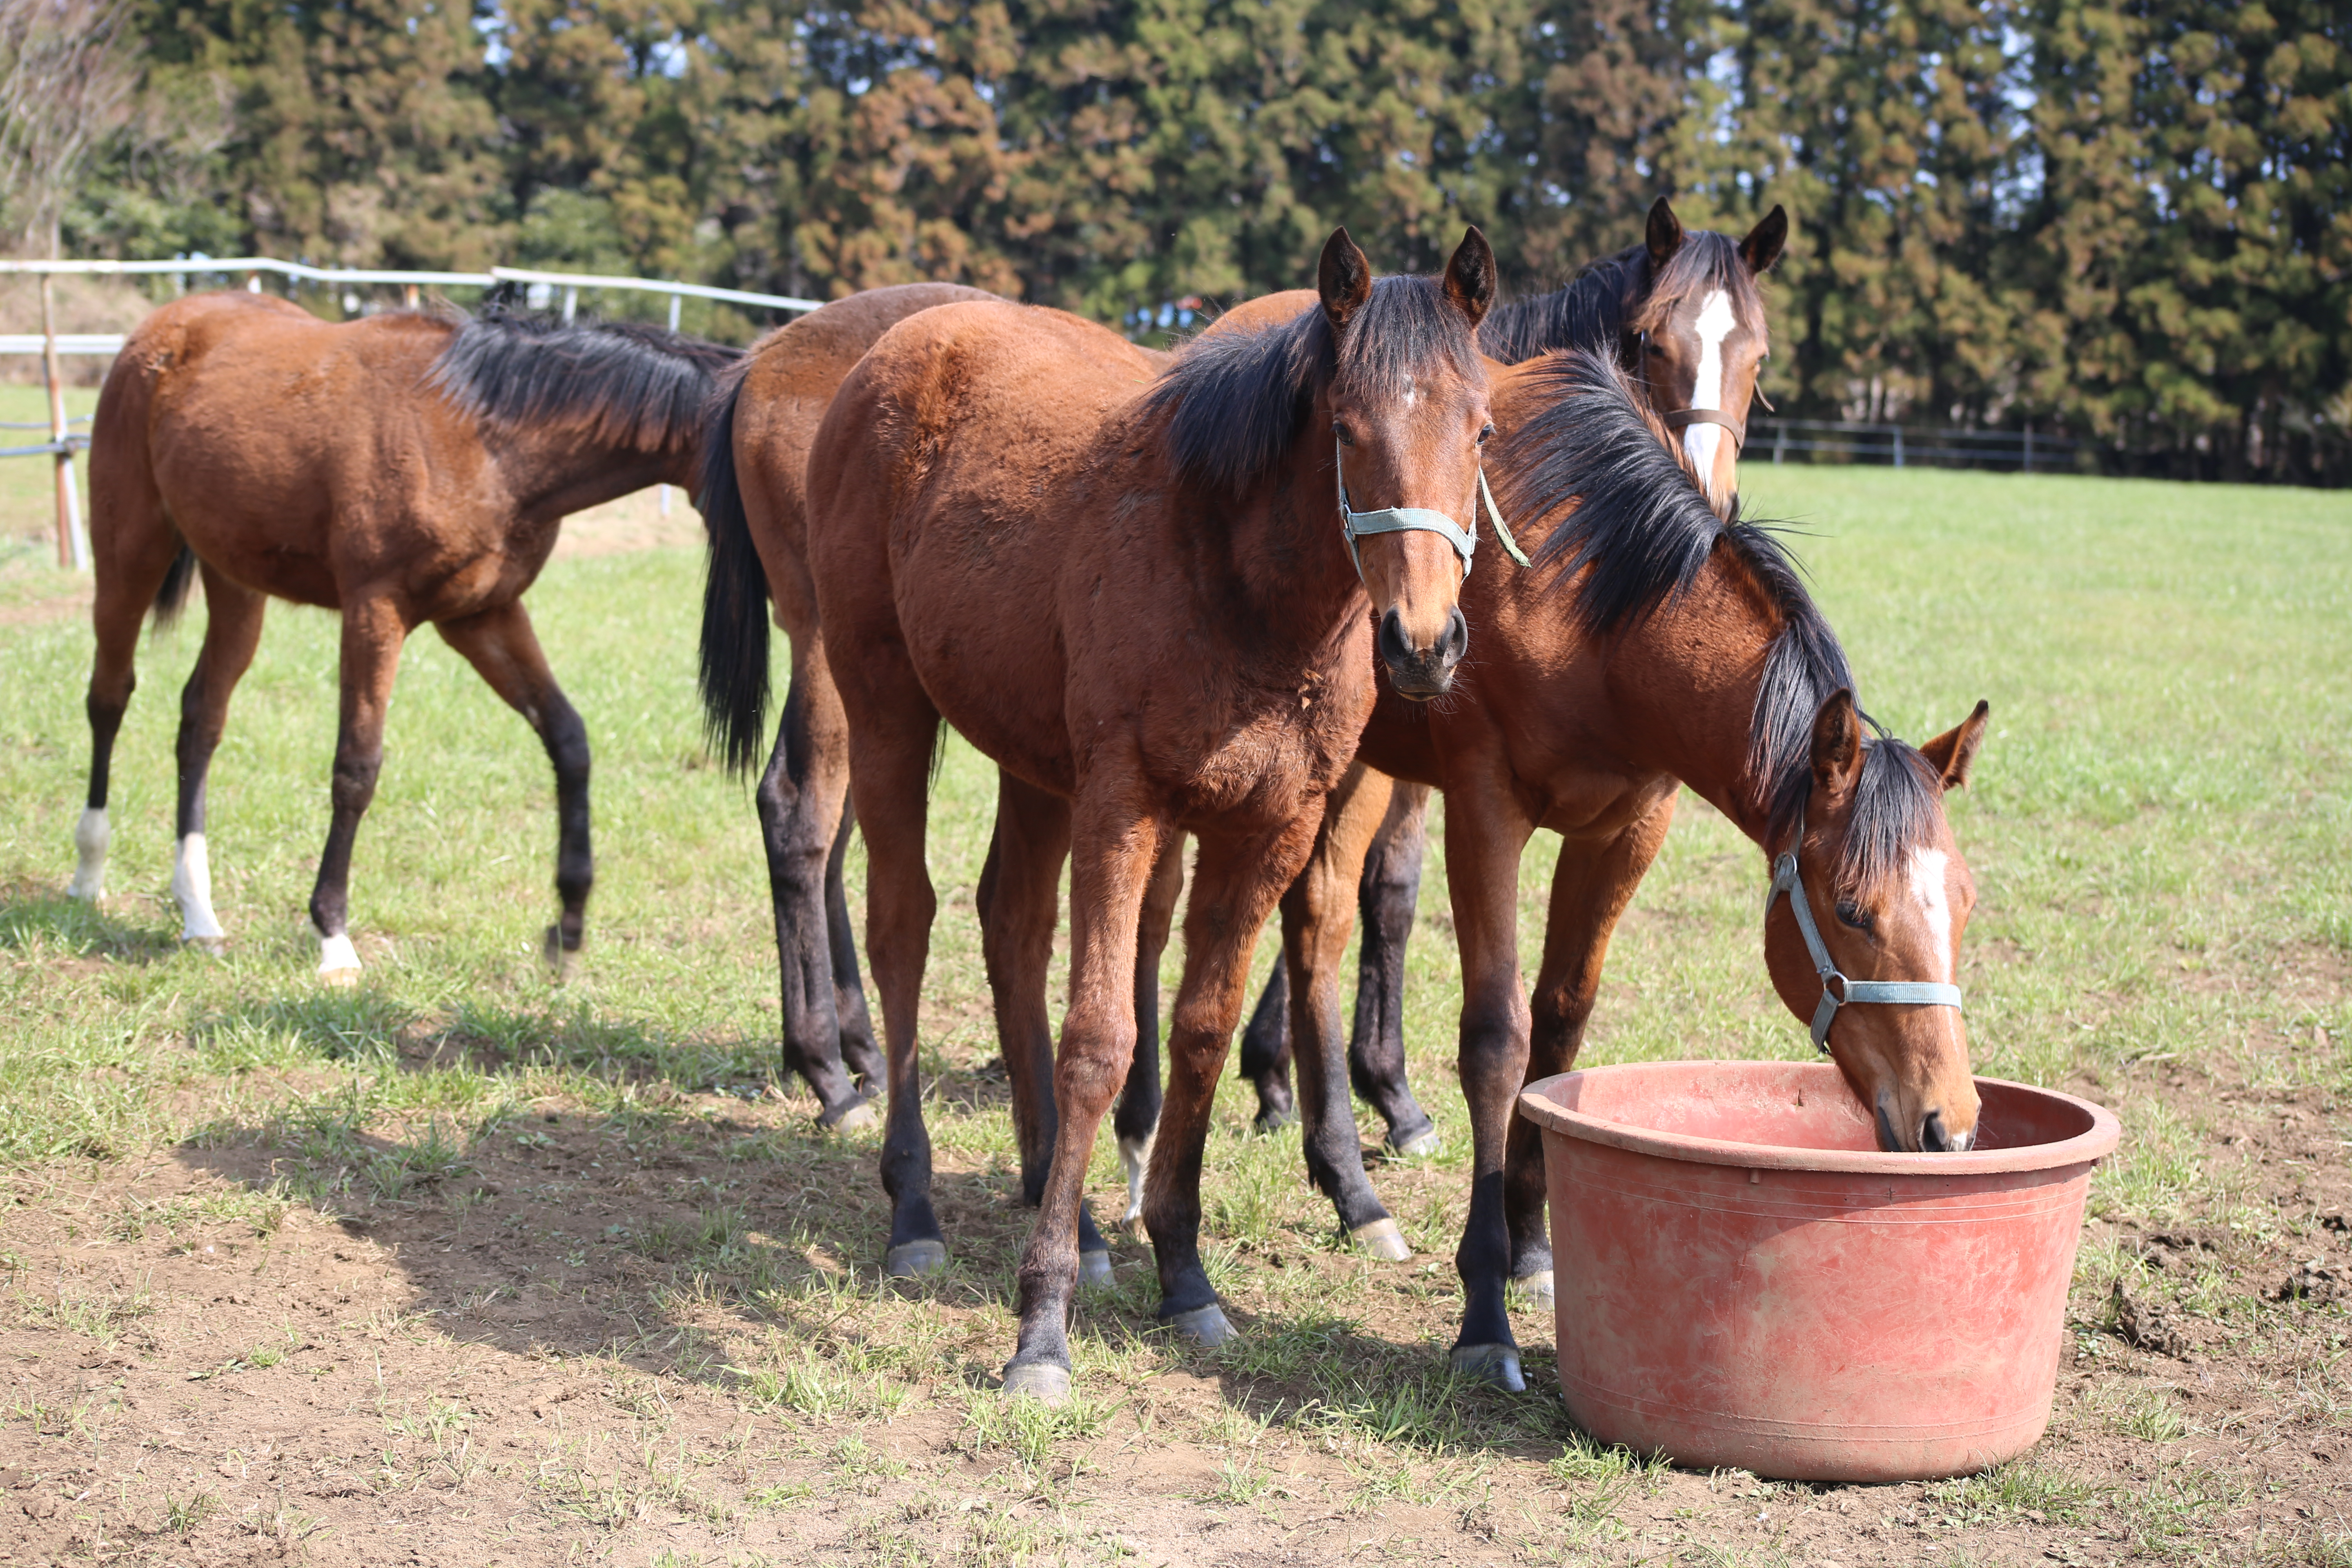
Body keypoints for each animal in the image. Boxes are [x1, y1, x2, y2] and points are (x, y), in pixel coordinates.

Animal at [69, 292, 734, 973]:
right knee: (109, 696)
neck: (484, 438)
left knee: (201, 721)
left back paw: (198, 913)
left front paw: (569, 923)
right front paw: (333, 936)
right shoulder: (375, 611)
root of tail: (166, 325)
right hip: (130, 555)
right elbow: (357, 767)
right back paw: (89, 872)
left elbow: (568, 739)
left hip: (236, 584)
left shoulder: (483, 616)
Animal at [1251, 350, 1985, 1392]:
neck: (1586, 600)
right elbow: (1497, 1040)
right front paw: (1483, 1310)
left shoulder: (1627, 829)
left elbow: (1559, 1027)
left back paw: (1345, 1178)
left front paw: (1530, 1248)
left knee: (1318, 920)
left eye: (1963, 905)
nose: (1948, 1125)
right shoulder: (1485, 810)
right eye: (1851, 909)